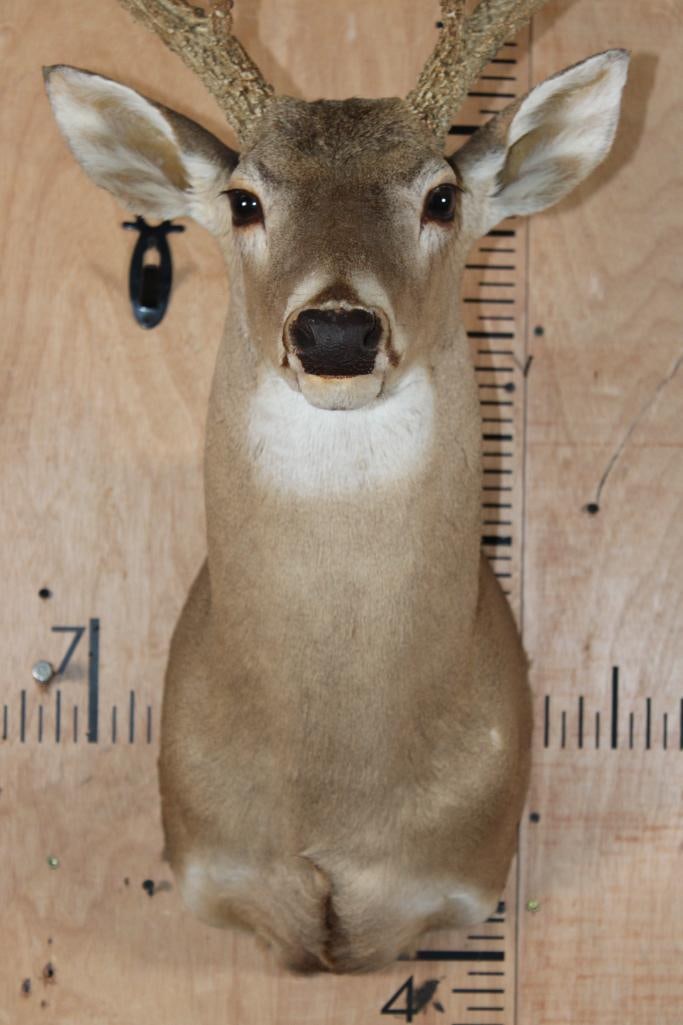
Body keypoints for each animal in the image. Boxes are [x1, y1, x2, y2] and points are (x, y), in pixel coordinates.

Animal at [44, 0, 628, 975]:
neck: (334, 783)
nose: (335, 333)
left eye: (441, 196)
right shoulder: (213, 869)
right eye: (244, 200)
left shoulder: (455, 879)